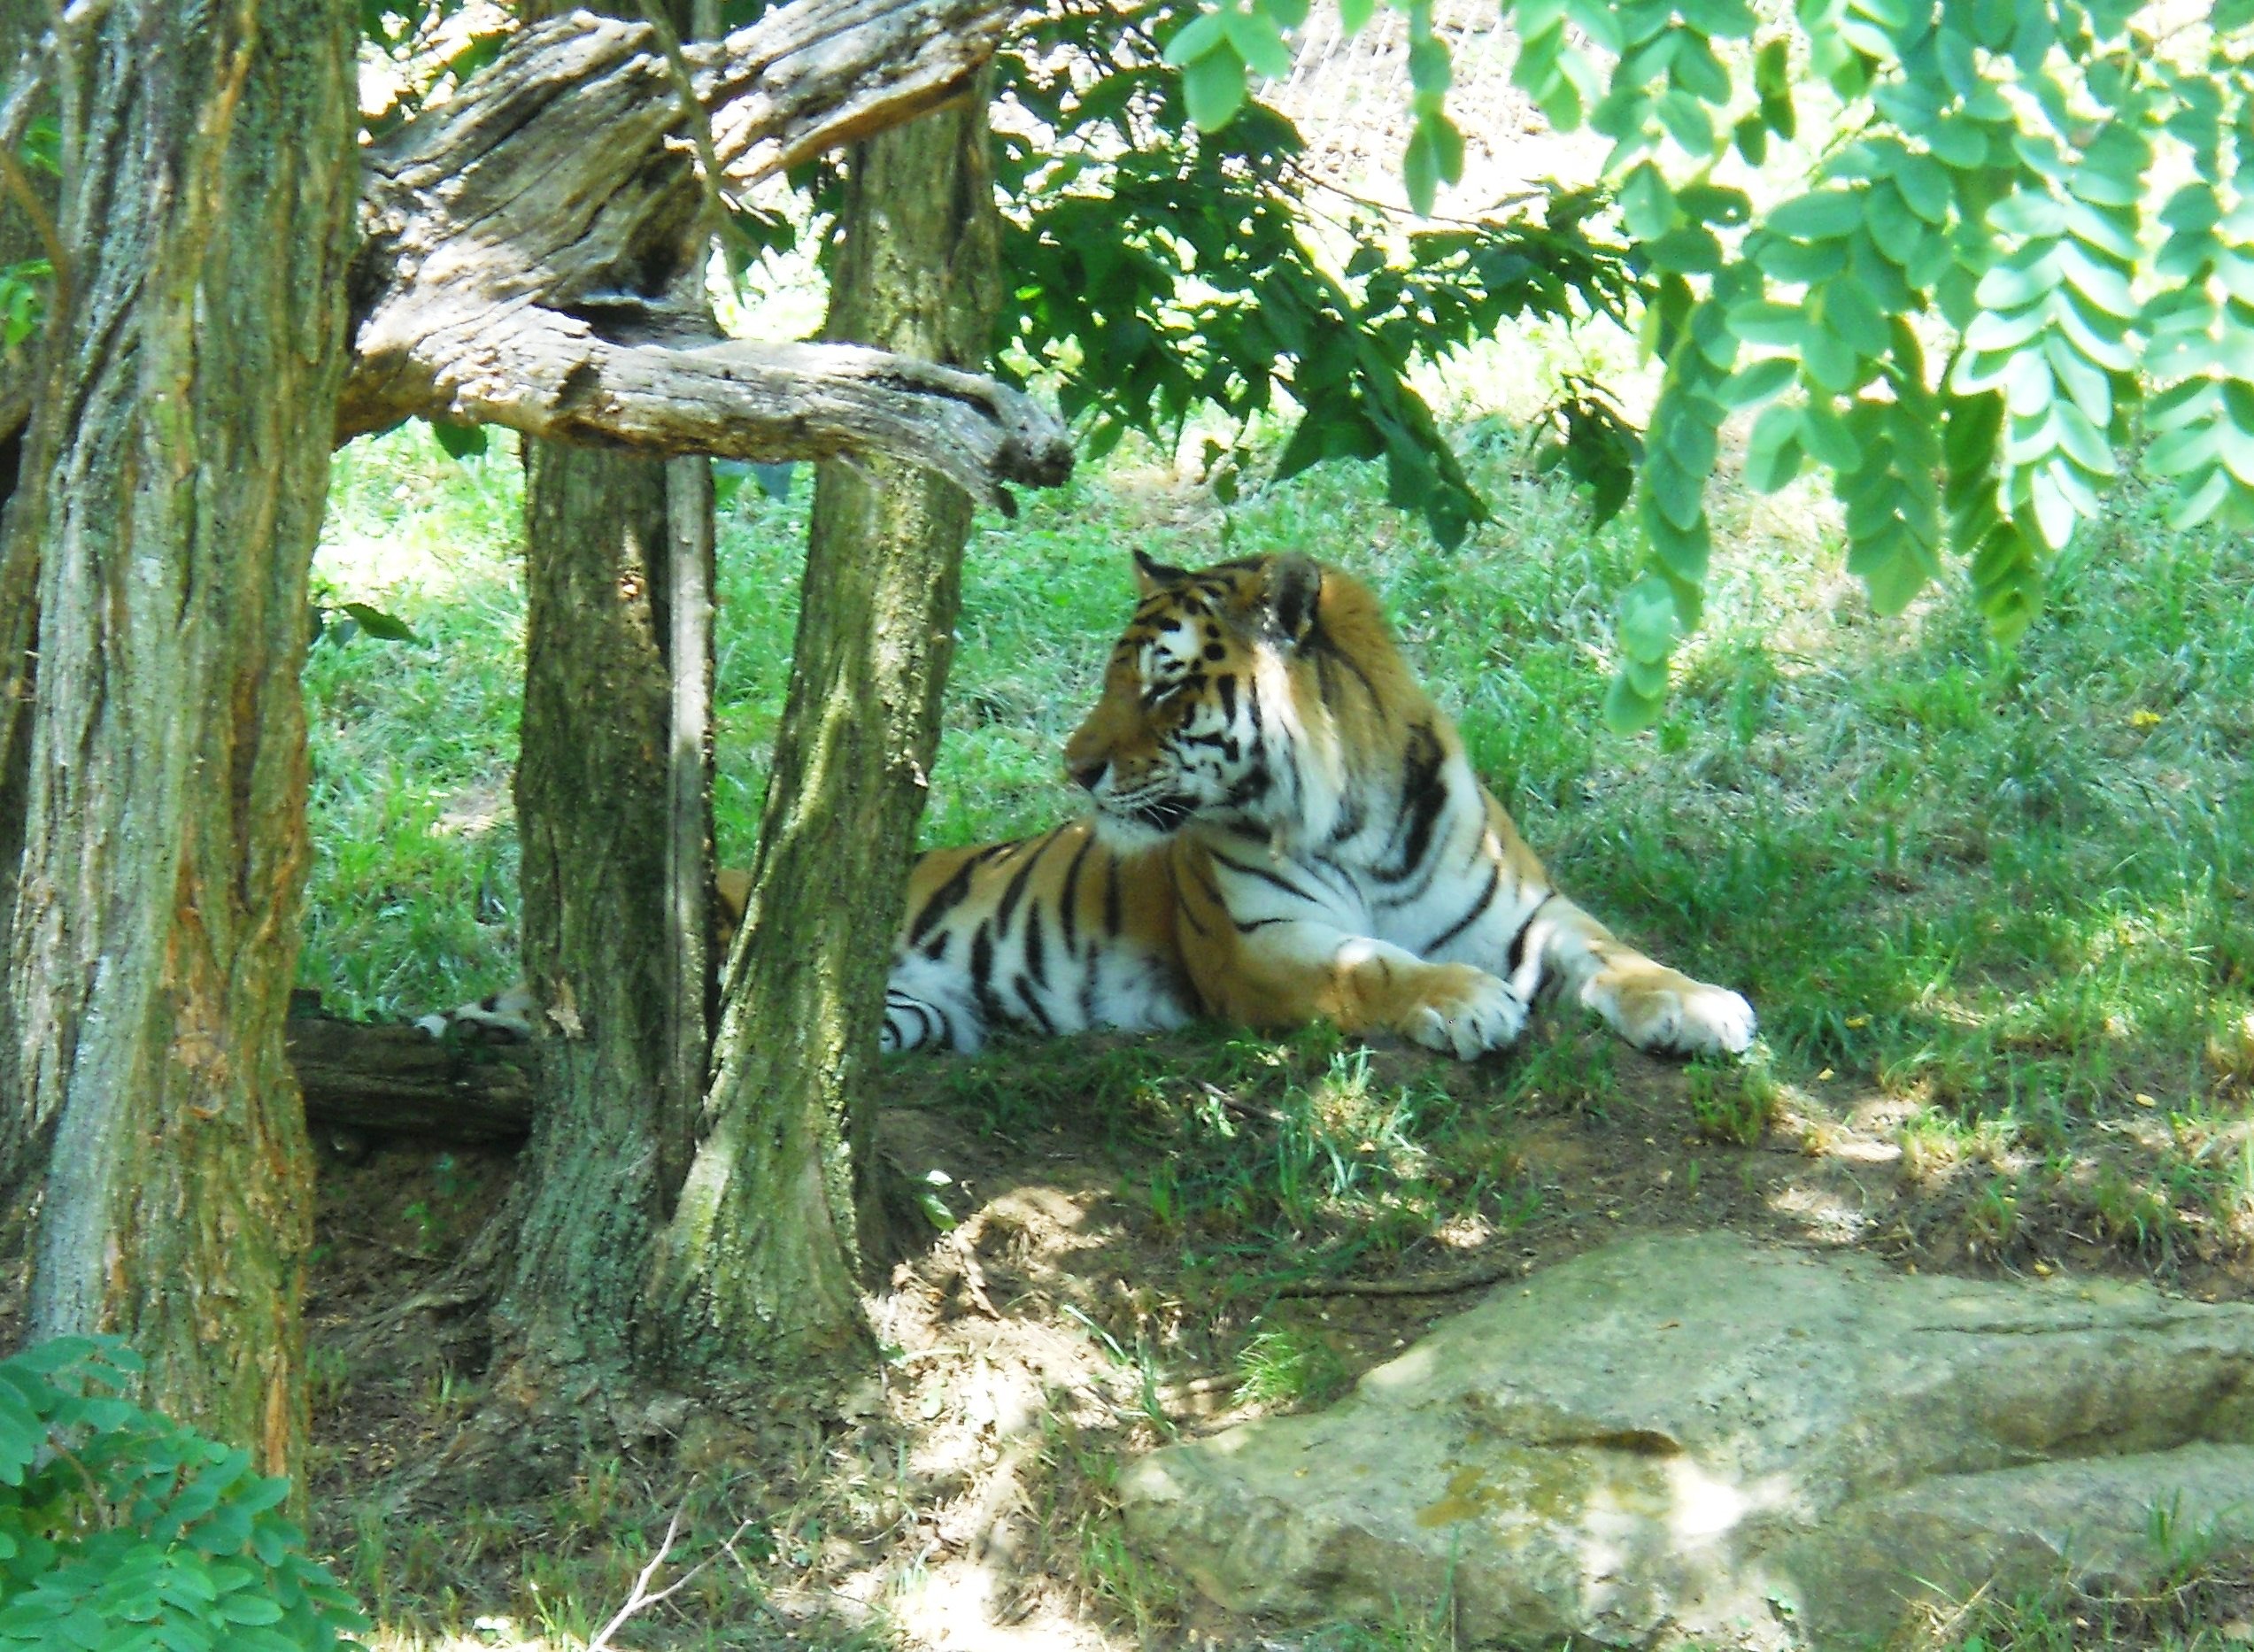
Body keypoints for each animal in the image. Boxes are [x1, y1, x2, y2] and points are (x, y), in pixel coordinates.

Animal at [869, 547, 1748, 1063]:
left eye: (1163, 686)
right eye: (1112, 680)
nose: (1074, 768)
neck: (1363, 823)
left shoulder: (1530, 913)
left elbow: (1614, 952)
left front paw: (1698, 1005)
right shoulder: (1258, 945)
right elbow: (1374, 964)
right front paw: (1464, 998)